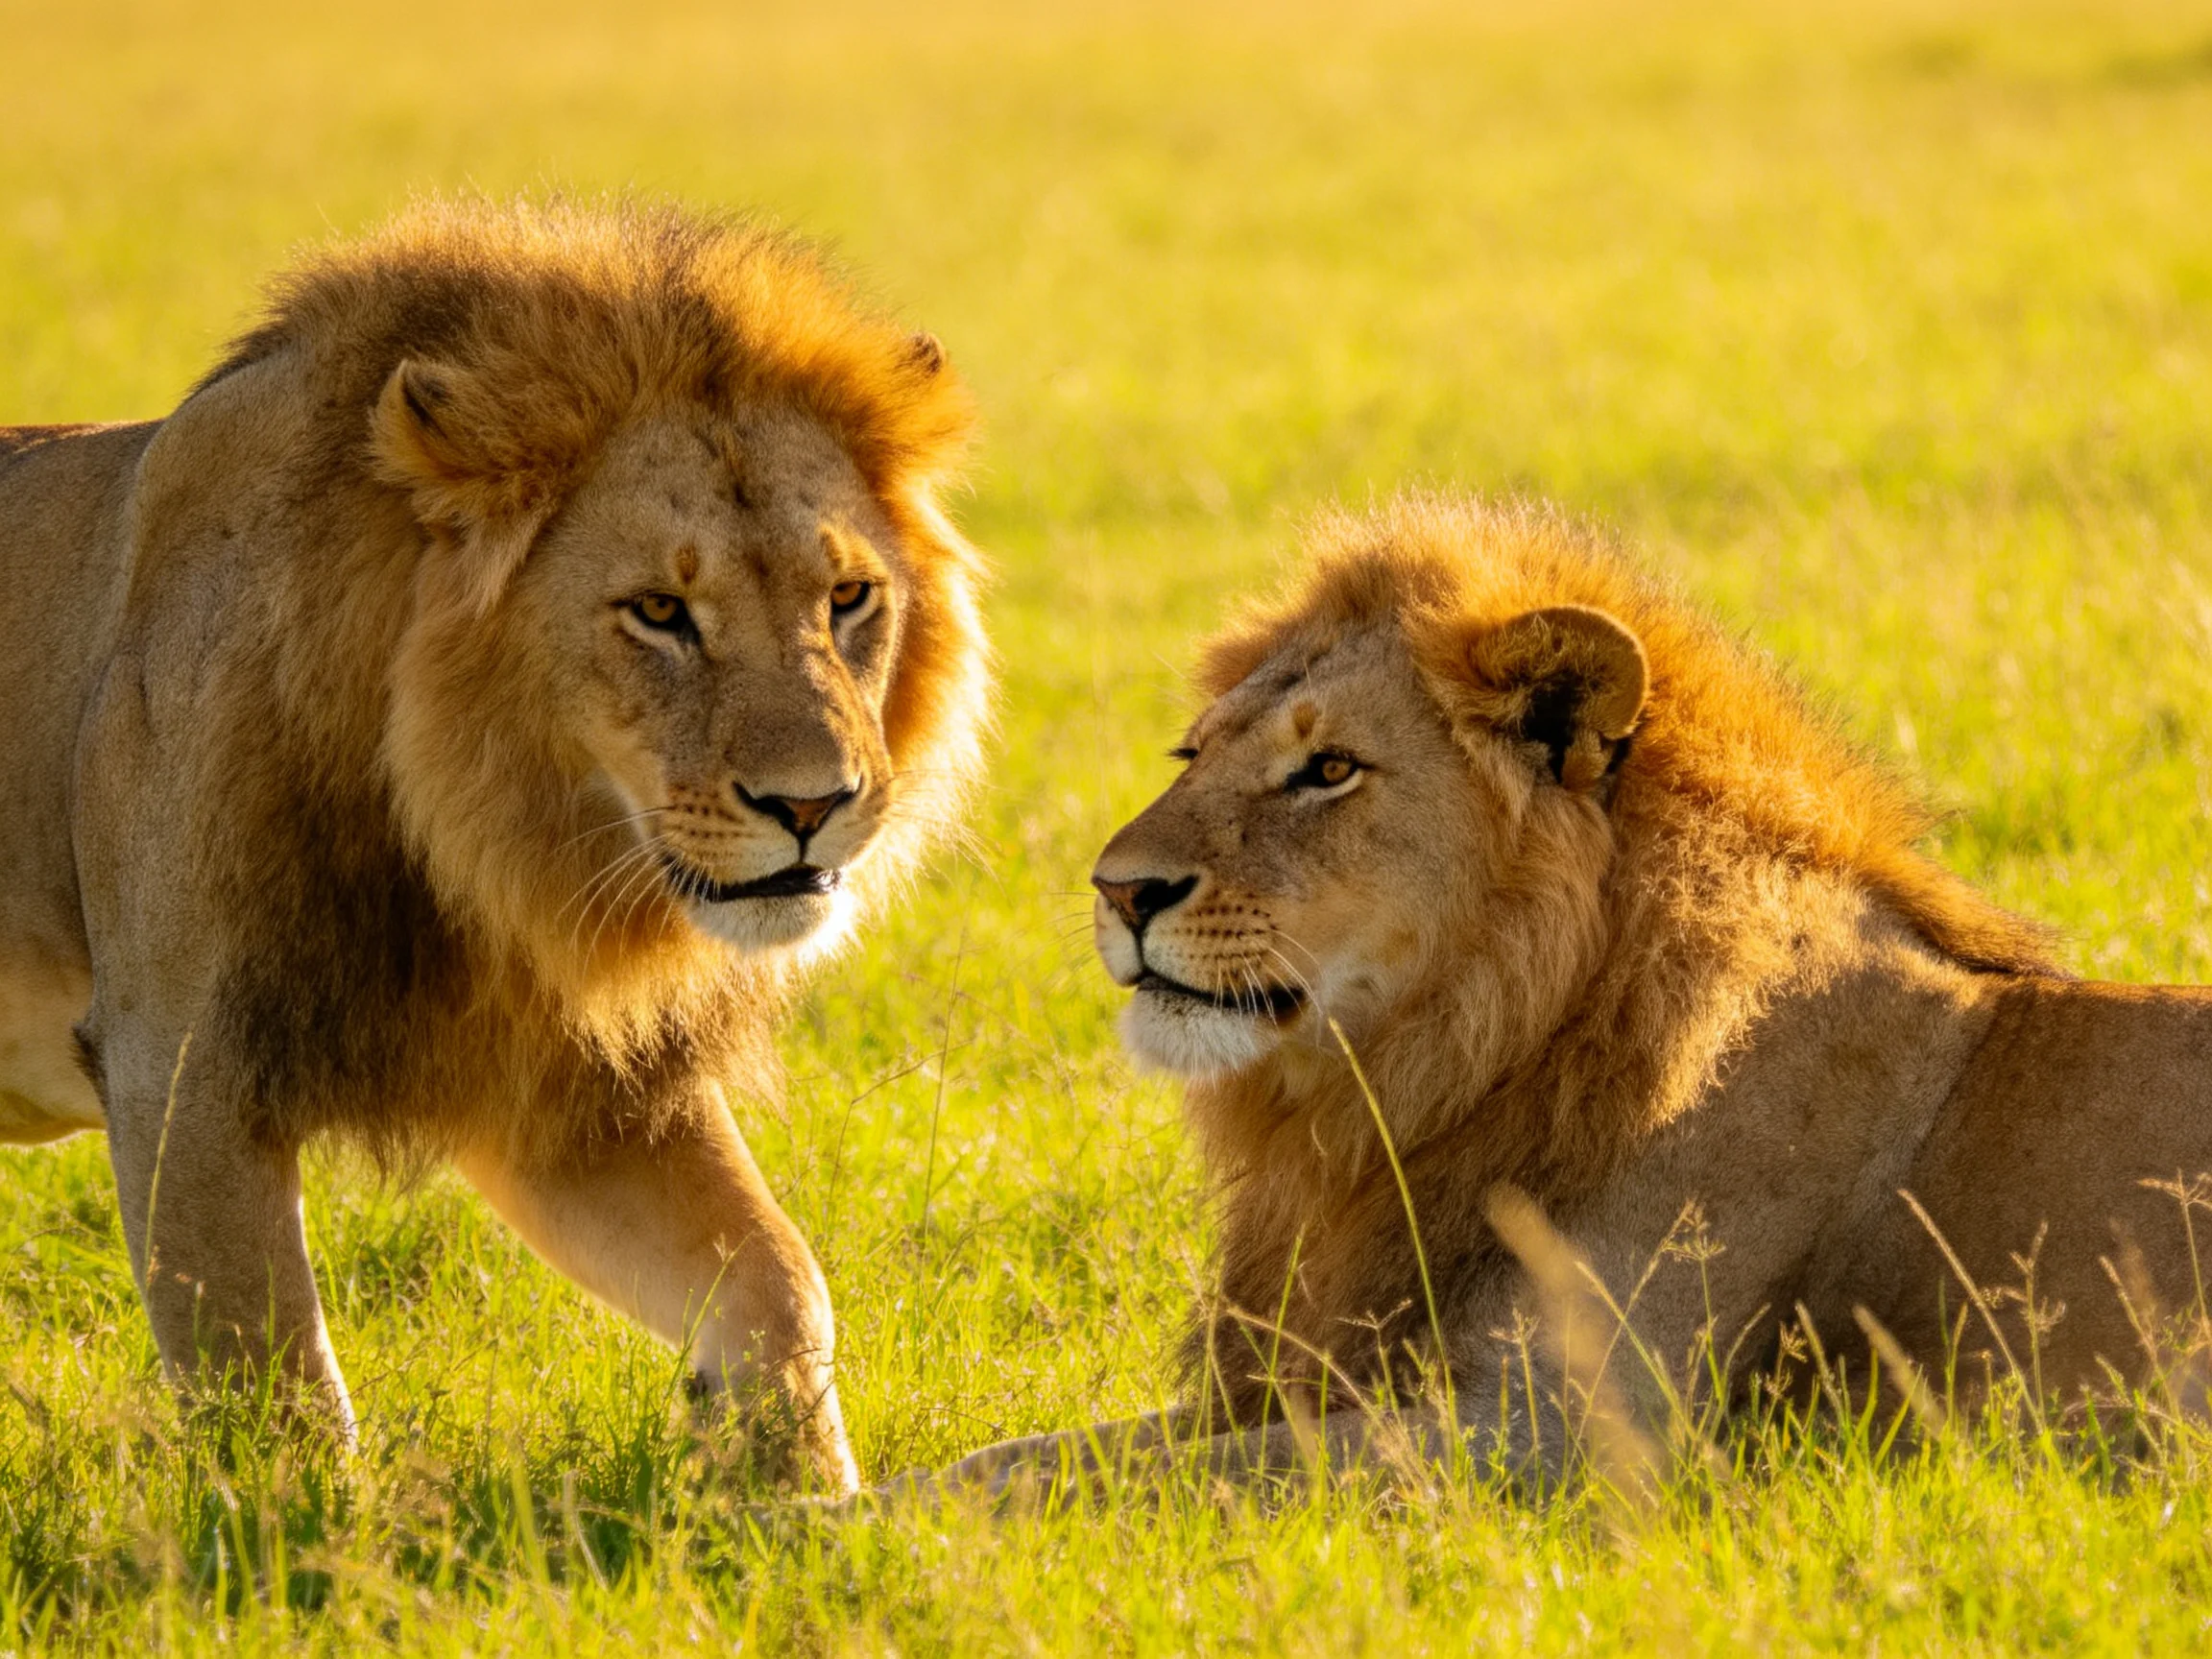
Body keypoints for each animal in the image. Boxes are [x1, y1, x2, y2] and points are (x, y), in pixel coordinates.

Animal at [0, 199, 991, 1494]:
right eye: (659, 613)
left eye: (847, 599)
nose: (814, 803)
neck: (487, 853)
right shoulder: (178, 1066)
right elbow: (279, 1399)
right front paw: (320, 1545)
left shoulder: (566, 1090)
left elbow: (776, 1281)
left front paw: (807, 1502)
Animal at [920, 491, 2212, 1498]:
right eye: (1193, 757)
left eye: (1328, 769)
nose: (1116, 890)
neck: (1430, 1072)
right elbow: (1034, 1454)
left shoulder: (1566, 1432)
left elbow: (1121, 1477)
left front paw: (865, 1531)